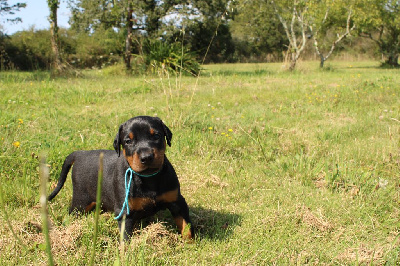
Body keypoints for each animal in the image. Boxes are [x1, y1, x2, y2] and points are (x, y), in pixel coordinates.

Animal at [47, 116, 195, 239]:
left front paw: (190, 244)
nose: (146, 157)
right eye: (128, 141)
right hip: (81, 201)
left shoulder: (177, 201)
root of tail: (79, 154)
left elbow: (186, 226)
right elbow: (126, 237)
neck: (148, 178)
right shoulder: (125, 211)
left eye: (157, 136)